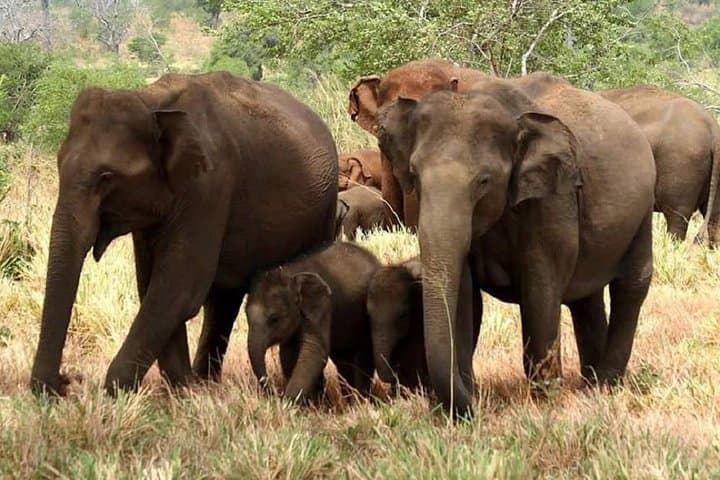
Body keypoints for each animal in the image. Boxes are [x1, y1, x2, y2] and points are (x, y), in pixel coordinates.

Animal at [30, 71, 338, 396]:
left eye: (106, 177)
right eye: (59, 164)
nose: (66, 381)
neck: (150, 99)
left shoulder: (209, 185)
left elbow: (178, 287)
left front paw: (118, 390)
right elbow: (154, 285)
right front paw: (183, 389)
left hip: (323, 214)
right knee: (223, 299)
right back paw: (205, 382)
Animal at [245, 242, 381, 402]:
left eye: (275, 318)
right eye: (246, 315)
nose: (275, 394)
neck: (290, 272)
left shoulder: (323, 305)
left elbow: (314, 351)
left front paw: (288, 403)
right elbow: (288, 355)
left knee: (363, 358)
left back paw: (360, 400)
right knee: (343, 360)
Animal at [377, 72, 656, 416]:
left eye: (484, 180)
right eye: (414, 174)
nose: (474, 406)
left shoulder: (552, 200)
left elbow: (541, 287)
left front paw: (546, 401)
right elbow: (465, 294)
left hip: (643, 211)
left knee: (631, 285)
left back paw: (605, 385)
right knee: (586, 298)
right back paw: (590, 386)